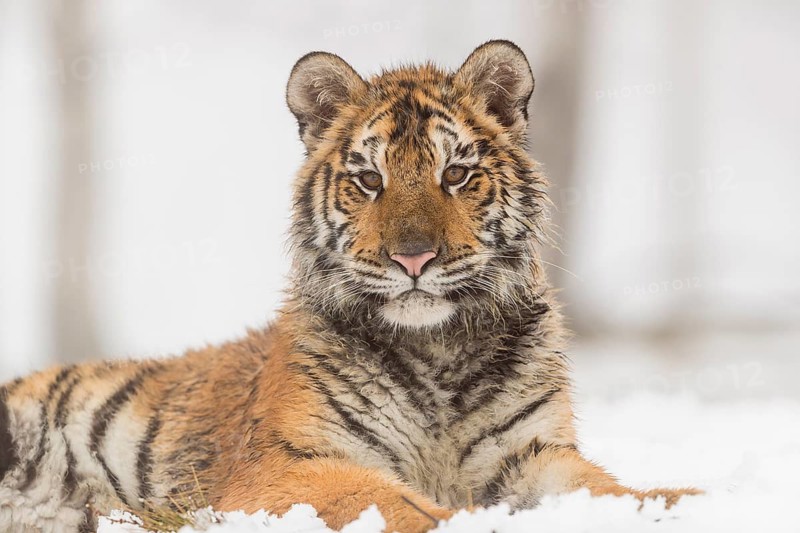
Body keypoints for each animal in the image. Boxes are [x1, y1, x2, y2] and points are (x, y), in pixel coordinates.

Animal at [0, 40, 700, 533]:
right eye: (368, 180)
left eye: (456, 174)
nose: (414, 257)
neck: (436, 352)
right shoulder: (289, 465)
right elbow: (391, 501)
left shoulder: (531, 452)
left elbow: (608, 489)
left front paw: (682, 499)